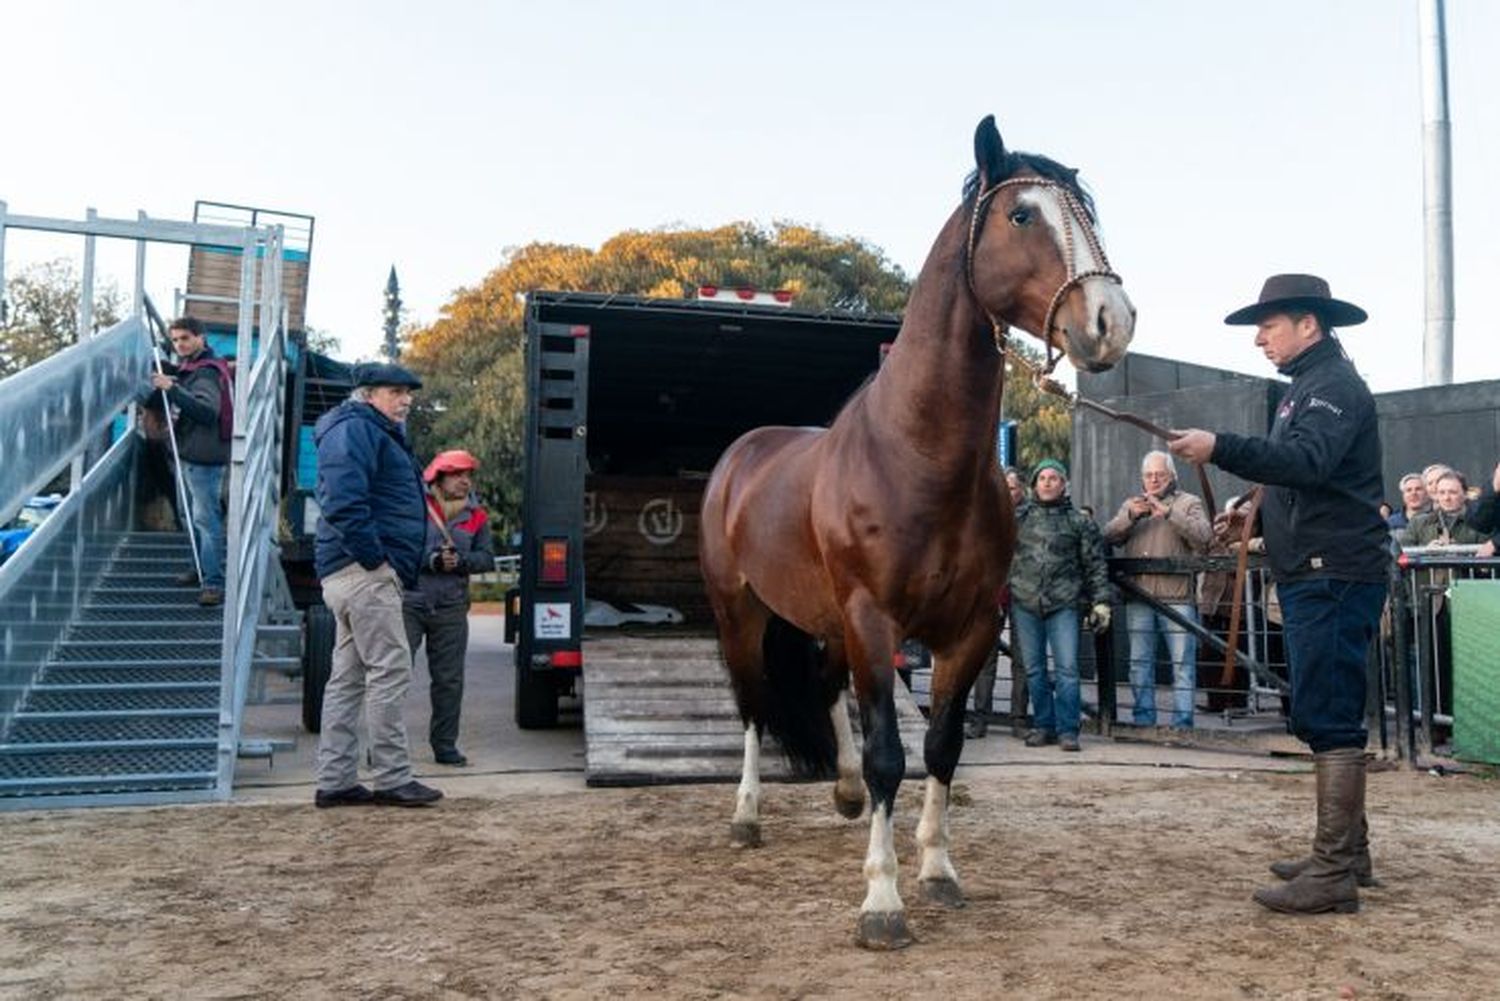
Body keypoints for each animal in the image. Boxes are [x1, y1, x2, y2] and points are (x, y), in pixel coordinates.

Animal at [696, 113, 1128, 954]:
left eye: (1091, 215)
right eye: (1020, 214)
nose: (1109, 321)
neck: (916, 456)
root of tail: (742, 455)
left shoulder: (970, 627)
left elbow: (940, 748)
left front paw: (936, 870)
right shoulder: (875, 619)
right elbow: (892, 756)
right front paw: (882, 902)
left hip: (828, 621)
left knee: (824, 690)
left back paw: (841, 791)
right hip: (743, 611)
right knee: (756, 705)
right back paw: (746, 816)